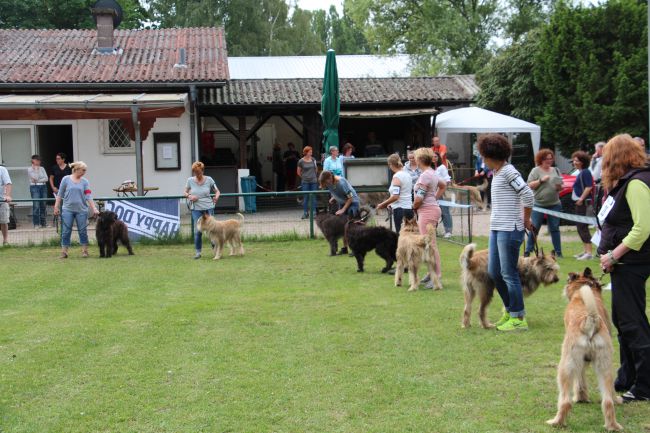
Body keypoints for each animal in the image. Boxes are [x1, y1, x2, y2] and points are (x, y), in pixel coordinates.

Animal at [548, 266, 624, 428]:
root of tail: (590, 319)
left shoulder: (578, 362)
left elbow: (579, 380)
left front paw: (580, 397)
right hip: (605, 366)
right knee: (608, 400)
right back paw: (612, 424)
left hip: (566, 366)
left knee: (565, 401)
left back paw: (556, 421)